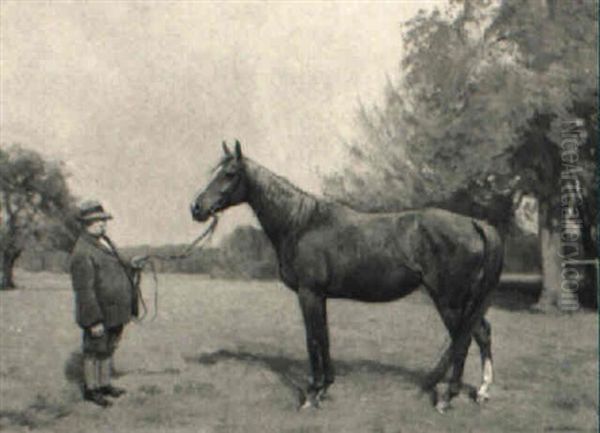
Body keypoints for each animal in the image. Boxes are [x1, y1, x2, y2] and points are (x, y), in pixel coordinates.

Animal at [191, 141, 502, 412]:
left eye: (230, 173)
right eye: (216, 172)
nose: (197, 208)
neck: (301, 223)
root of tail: (474, 224)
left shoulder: (308, 293)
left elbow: (312, 340)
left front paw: (311, 394)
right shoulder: (320, 296)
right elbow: (324, 338)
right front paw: (325, 388)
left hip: (449, 300)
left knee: (463, 339)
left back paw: (448, 397)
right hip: (464, 301)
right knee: (481, 333)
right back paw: (482, 391)